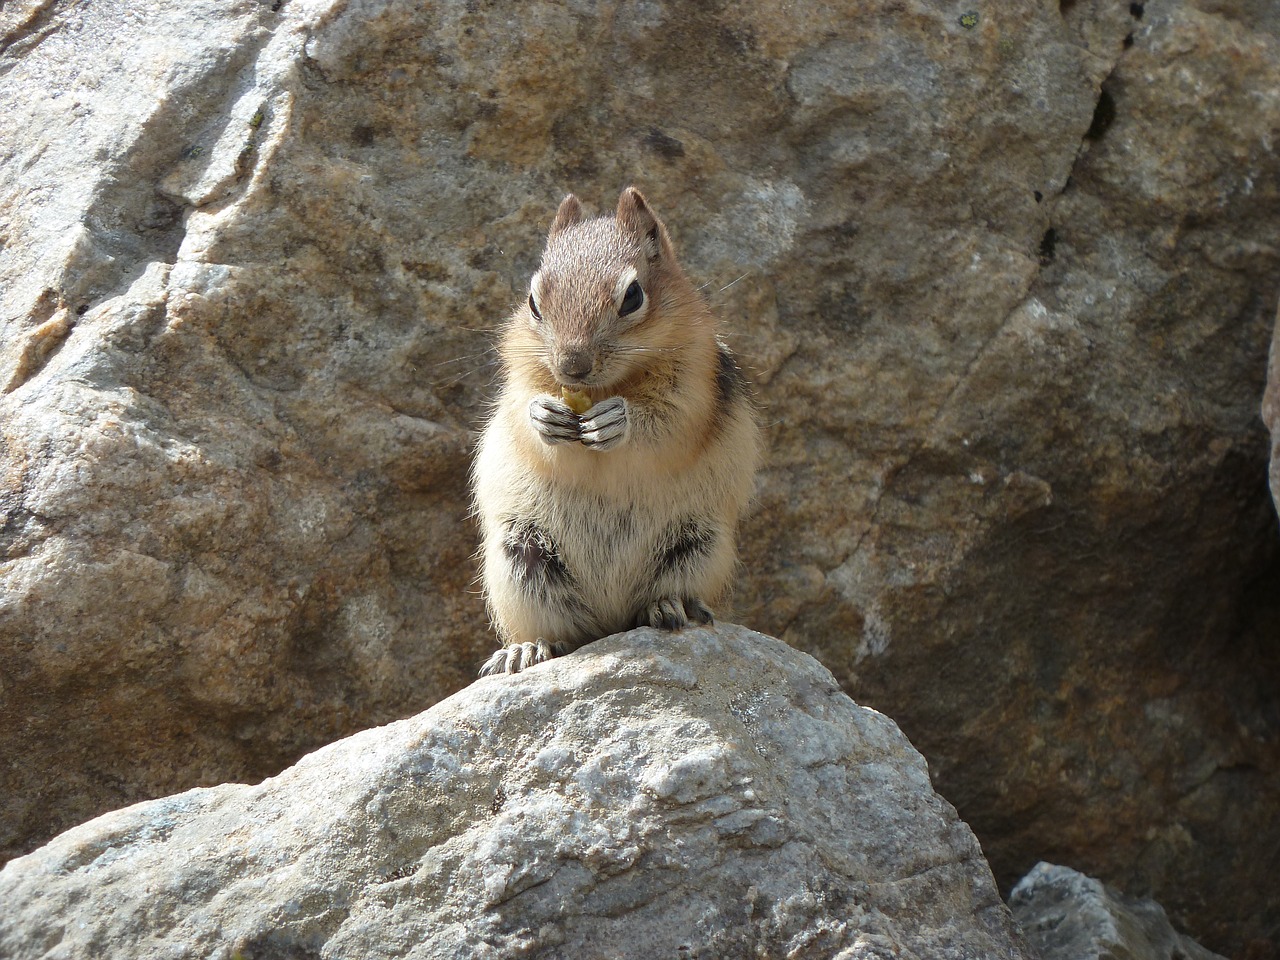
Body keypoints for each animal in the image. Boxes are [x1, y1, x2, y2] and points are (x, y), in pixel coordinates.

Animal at [473, 188, 757, 680]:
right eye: (533, 302)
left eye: (633, 296)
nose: (571, 366)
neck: (607, 386)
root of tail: (609, 625)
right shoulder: (520, 375)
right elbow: (522, 414)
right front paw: (542, 415)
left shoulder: (694, 383)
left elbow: (668, 423)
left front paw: (616, 421)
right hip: (522, 559)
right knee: (559, 631)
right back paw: (526, 649)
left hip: (698, 545)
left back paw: (670, 608)